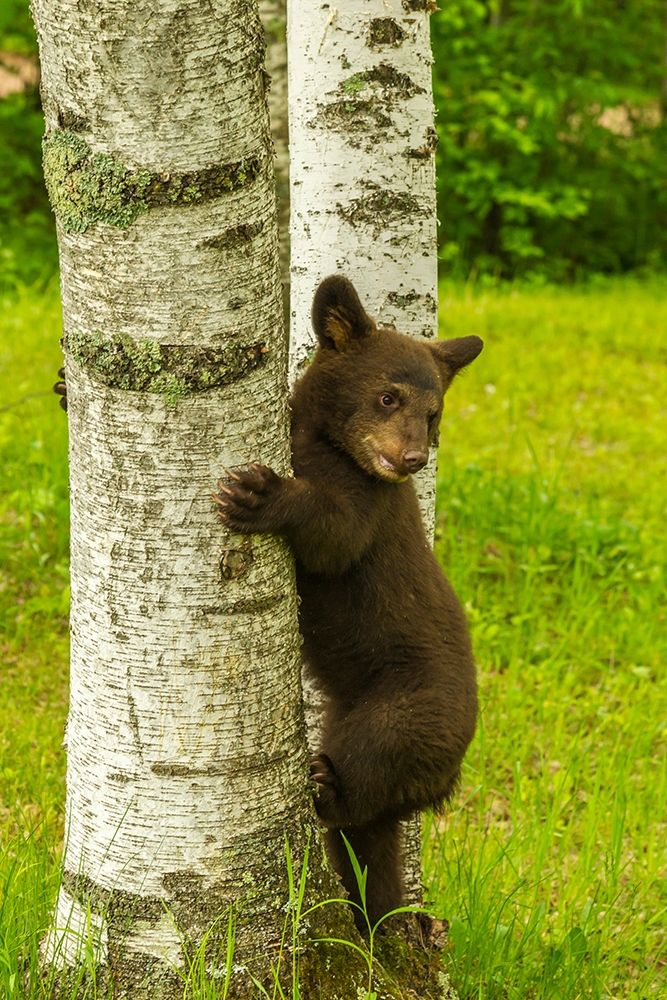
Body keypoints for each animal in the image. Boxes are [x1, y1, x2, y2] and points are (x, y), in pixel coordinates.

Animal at [213, 275, 483, 930]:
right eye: (388, 397)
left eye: (433, 412)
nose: (413, 458)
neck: (326, 444)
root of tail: (448, 776)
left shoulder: (369, 503)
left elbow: (334, 536)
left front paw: (262, 495)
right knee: (368, 843)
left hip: (404, 713)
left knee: (364, 776)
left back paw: (325, 785)